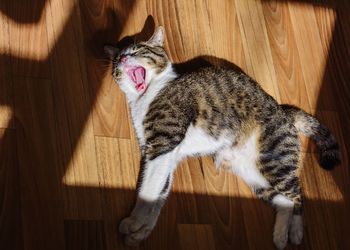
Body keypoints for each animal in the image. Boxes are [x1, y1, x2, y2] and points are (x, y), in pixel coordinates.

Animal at [103, 26, 340, 249]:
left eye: (137, 50)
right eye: (117, 61)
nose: (123, 58)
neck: (145, 96)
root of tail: (285, 112)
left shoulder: (163, 143)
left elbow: (149, 189)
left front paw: (133, 222)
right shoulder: (165, 155)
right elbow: (159, 192)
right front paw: (141, 231)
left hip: (275, 161)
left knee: (298, 195)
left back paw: (296, 232)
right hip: (252, 174)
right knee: (285, 201)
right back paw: (280, 237)